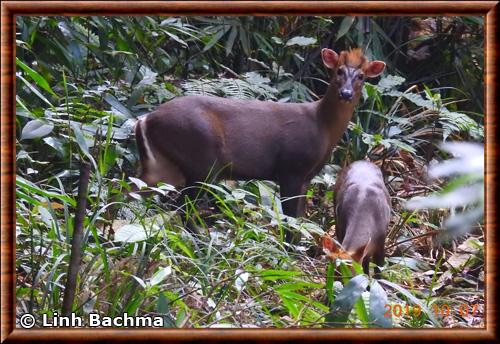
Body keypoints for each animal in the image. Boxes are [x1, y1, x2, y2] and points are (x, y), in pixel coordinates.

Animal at [135, 48, 384, 243]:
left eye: (361, 76)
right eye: (339, 71)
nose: (346, 93)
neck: (322, 127)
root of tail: (146, 119)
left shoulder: (306, 177)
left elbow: (300, 218)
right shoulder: (291, 168)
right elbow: (290, 218)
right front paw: (288, 254)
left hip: (163, 165)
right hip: (201, 160)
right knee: (181, 207)